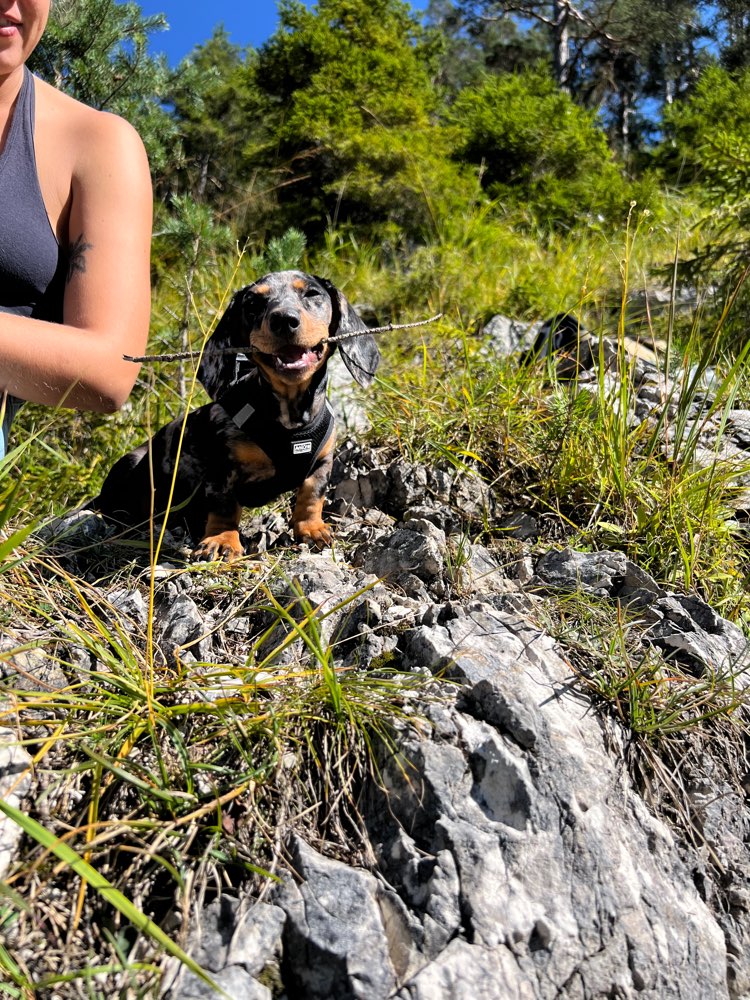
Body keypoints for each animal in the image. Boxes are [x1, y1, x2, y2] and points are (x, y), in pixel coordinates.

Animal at [94, 270, 382, 560]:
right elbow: (225, 504)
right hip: (130, 465)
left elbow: (312, 494)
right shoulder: (223, 467)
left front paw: (311, 528)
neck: (290, 419)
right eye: (253, 304)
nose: (284, 320)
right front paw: (222, 540)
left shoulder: (322, 462)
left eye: (312, 293)